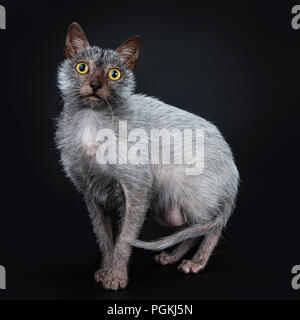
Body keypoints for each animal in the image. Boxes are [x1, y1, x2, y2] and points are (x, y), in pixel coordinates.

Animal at [55, 22, 239, 292]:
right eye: (82, 67)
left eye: (114, 74)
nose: (96, 85)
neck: (92, 121)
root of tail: (233, 169)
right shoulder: (92, 195)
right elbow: (104, 238)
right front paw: (105, 271)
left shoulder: (137, 188)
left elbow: (124, 240)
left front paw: (116, 278)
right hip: (167, 210)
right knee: (192, 229)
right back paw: (172, 257)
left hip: (189, 196)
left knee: (213, 226)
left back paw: (195, 263)